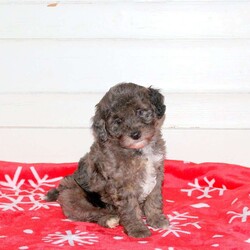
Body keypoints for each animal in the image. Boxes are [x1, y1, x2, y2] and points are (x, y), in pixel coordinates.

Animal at [46, 82, 169, 238]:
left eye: (140, 111)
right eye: (118, 121)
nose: (135, 135)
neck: (139, 150)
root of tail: (61, 190)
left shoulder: (157, 174)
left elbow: (154, 199)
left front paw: (156, 219)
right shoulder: (123, 184)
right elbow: (130, 207)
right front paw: (137, 228)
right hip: (75, 197)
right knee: (89, 213)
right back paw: (109, 219)